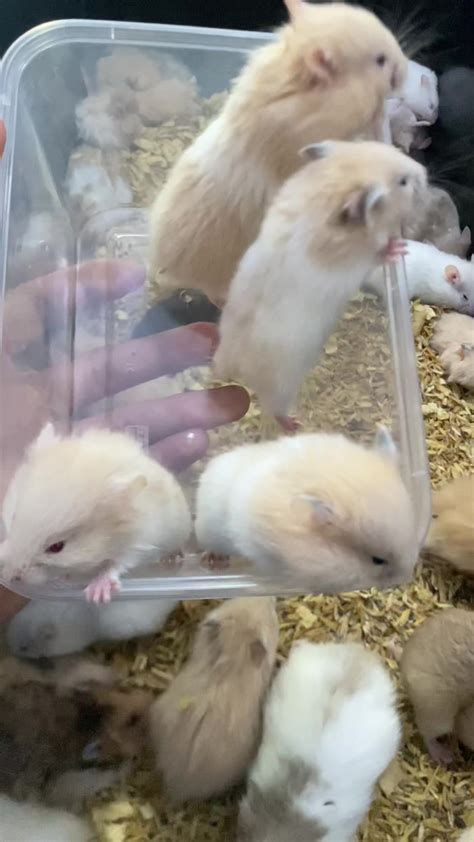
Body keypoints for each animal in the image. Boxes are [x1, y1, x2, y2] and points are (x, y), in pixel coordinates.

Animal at [0, 424, 191, 604]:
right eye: (14, 517)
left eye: (57, 547)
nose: (11, 577)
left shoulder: (140, 541)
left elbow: (117, 564)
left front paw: (96, 596)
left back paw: (173, 559)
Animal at [214, 140, 426, 428]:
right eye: (403, 182)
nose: (424, 172)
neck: (326, 191)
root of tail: (228, 363)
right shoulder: (360, 260)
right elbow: (380, 252)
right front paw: (399, 248)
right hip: (282, 387)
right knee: (275, 410)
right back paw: (295, 425)